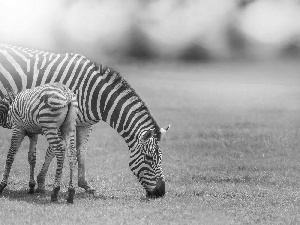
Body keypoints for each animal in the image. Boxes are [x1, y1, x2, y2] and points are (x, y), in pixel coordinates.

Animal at [0, 44, 169, 198]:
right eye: (149, 158)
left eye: (161, 158)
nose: (161, 192)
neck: (96, 95)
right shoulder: (62, 123)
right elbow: (54, 151)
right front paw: (42, 182)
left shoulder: (85, 124)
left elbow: (81, 152)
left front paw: (85, 185)